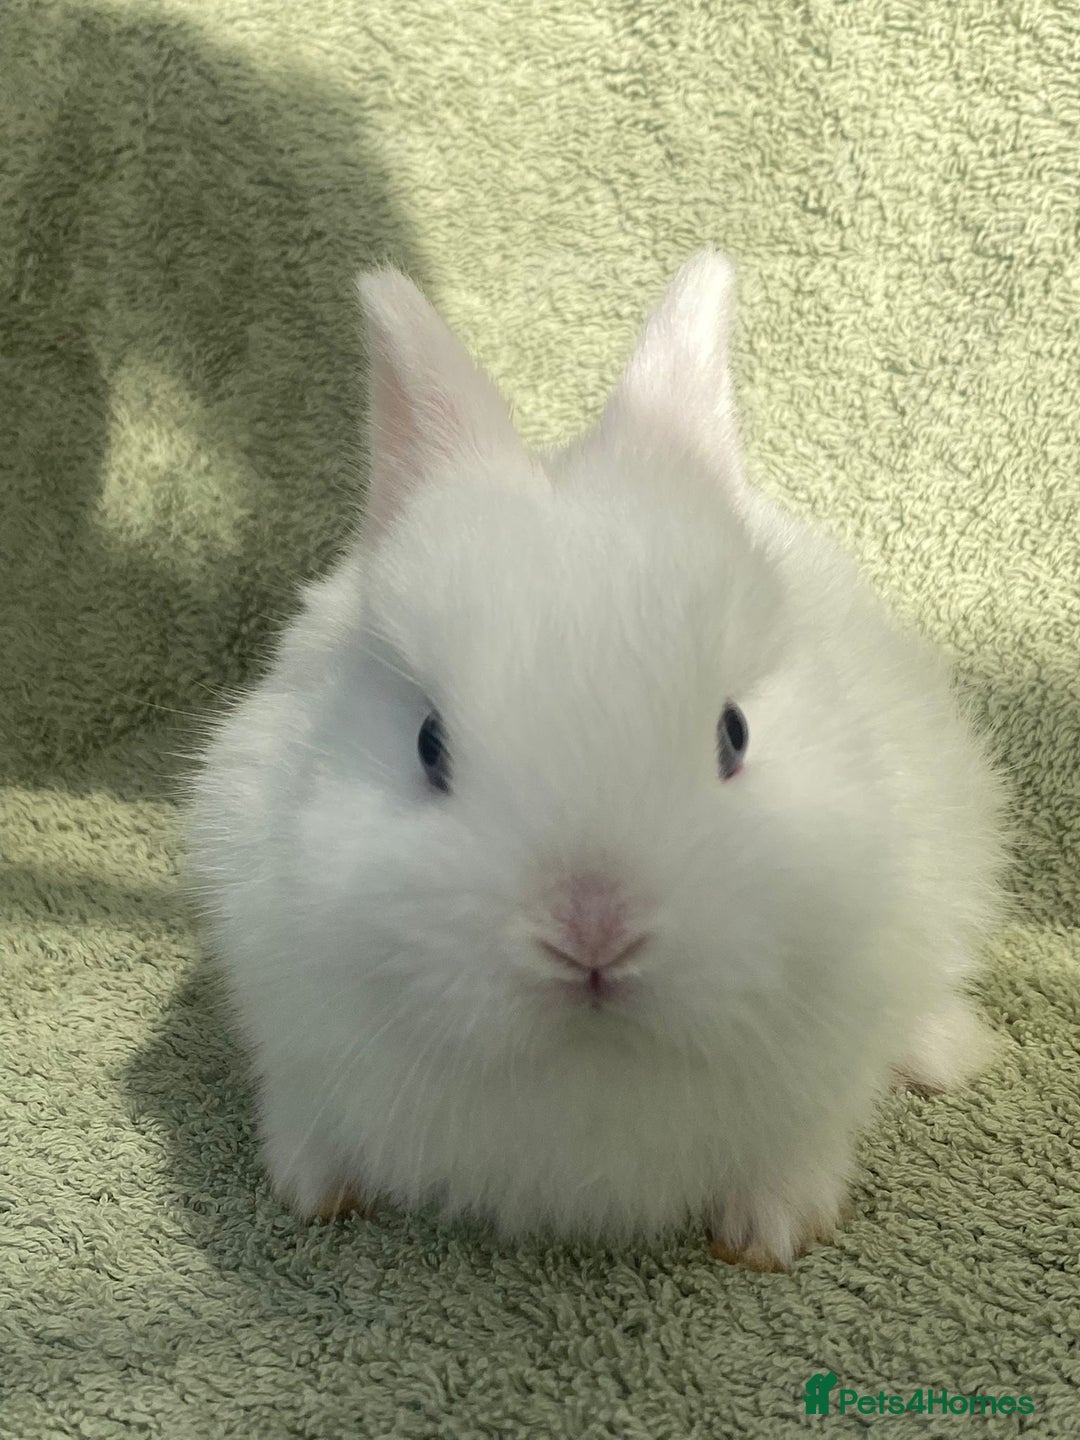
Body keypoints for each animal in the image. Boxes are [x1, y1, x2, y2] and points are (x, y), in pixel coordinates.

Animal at [186, 251, 1008, 1270]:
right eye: (427, 744)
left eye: (734, 734)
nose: (592, 934)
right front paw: (311, 1190)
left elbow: (801, 1144)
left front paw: (772, 1234)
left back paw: (948, 1055)